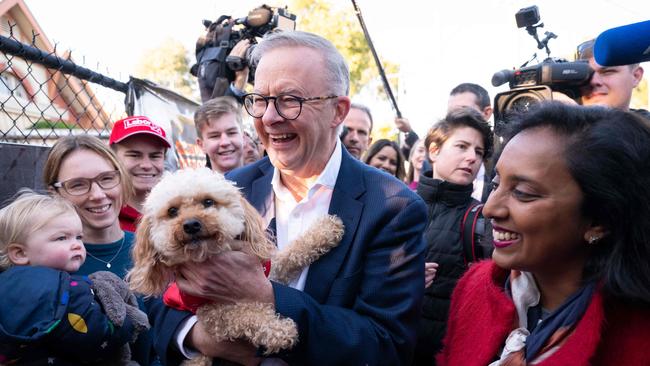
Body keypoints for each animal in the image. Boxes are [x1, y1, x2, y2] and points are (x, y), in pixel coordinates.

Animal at [123, 167, 342, 364]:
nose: (191, 224)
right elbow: (244, 314)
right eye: (172, 211)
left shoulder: (268, 269)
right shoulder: (212, 315)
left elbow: (289, 255)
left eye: (208, 201)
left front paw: (327, 229)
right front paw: (280, 329)